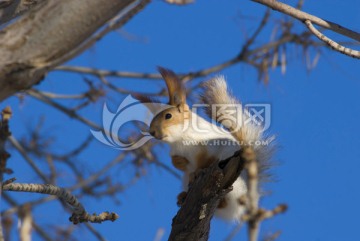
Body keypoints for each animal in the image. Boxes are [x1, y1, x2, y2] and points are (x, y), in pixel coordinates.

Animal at [146, 67, 272, 221]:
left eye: (168, 116)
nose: (151, 132)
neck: (179, 139)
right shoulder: (175, 151)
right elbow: (175, 162)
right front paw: (180, 162)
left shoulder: (209, 147)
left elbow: (205, 160)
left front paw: (198, 171)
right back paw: (183, 196)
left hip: (234, 186)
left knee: (223, 202)